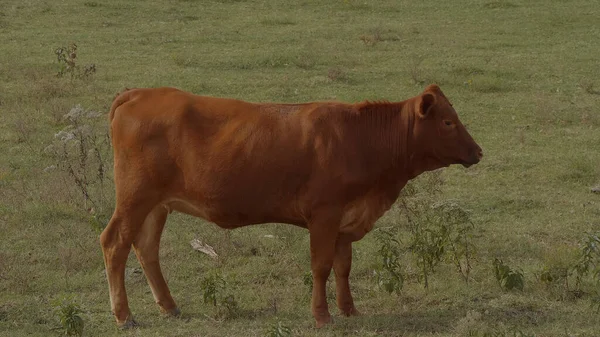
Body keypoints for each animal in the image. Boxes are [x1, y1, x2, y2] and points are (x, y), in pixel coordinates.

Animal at [98, 82, 482, 326]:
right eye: (448, 121)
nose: (478, 151)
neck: (360, 139)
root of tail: (141, 93)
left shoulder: (345, 221)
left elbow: (343, 268)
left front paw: (349, 310)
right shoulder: (324, 216)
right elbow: (321, 267)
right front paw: (322, 316)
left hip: (156, 205)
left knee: (146, 248)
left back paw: (169, 306)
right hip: (135, 198)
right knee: (115, 243)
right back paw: (124, 316)